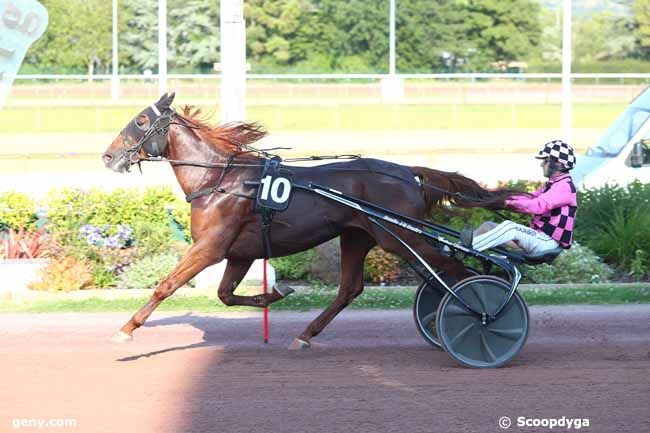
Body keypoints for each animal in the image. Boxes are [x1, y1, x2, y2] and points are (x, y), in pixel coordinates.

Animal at [102, 93, 520, 348]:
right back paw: (306, 334)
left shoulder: (210, 248)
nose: (108, 156)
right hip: (359, 236)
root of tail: (408, 173)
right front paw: (275, 293)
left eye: (141, 121)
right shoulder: (240, 252)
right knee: (351, 289)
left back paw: (486, 318)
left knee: (459, 274)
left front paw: (126, 329)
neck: (220, 179)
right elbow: (225, 294)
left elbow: (166, 285)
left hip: (403, 238)